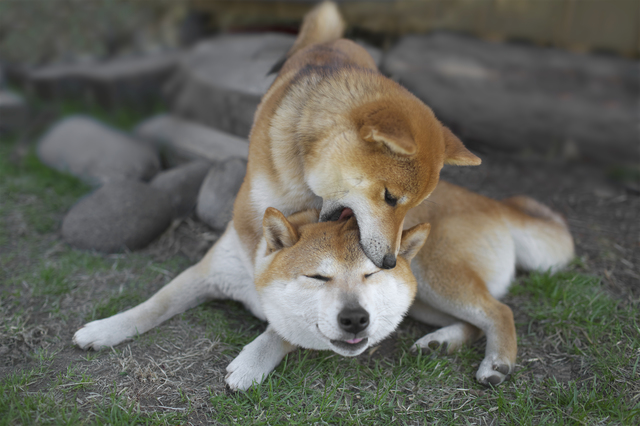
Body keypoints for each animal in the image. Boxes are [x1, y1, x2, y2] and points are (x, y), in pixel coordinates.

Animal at [72, 180, 572, 390]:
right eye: (318, 276)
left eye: (369, 274)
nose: (357, 320)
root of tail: (495, 203)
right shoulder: (205, 274)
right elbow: (153, 305)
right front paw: (106, 329)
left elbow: (279, 332)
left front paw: (250, 364)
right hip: (421, 297)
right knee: (475, 318)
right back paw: (441, 341)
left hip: (431, 277)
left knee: (498, 311)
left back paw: (496, 363)